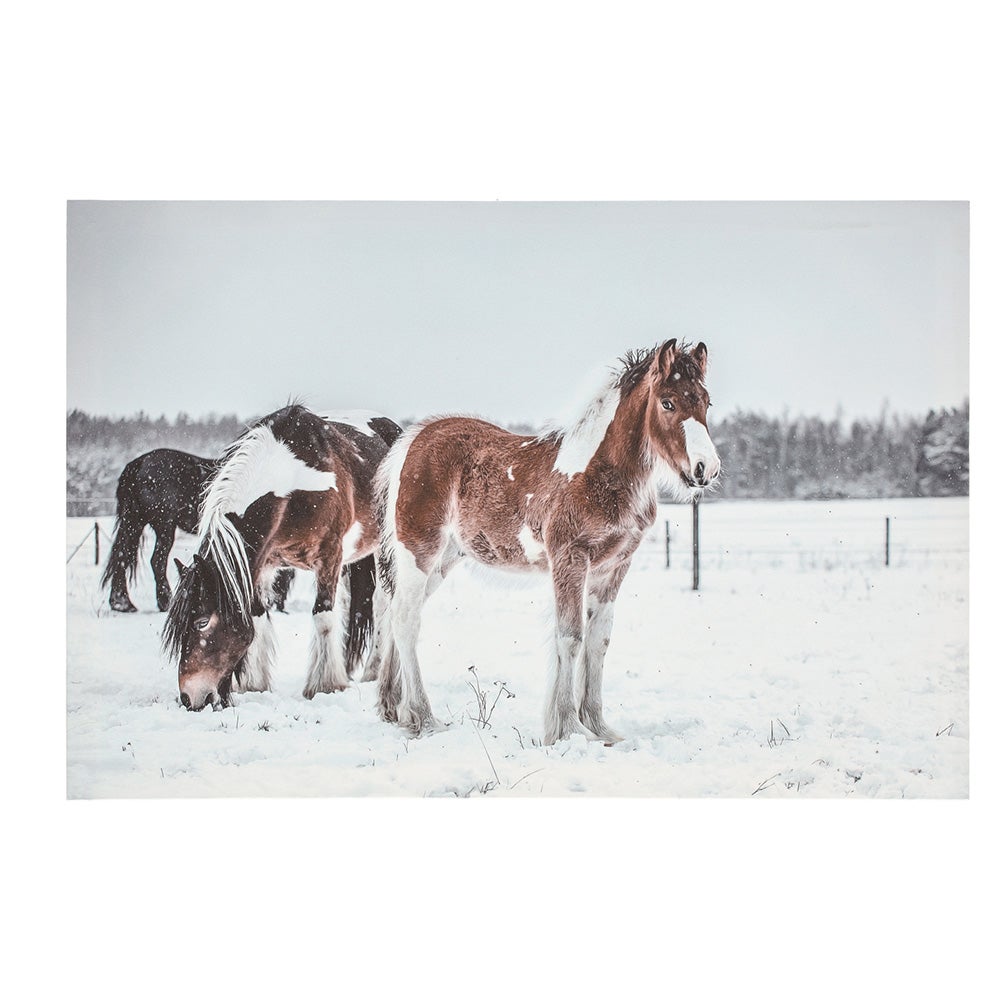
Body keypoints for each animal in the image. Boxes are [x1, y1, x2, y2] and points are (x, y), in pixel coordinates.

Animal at [100, 448, 294, 614]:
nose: (277, 605)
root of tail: (138, 463)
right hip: (164, 526)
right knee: (157, 561)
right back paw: (166, 602)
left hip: (134, 524)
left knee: (122, 557)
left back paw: (122, 603)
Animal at [163, 406, 402, 711]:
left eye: (202, 622)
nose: (189, 698)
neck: (293, 484)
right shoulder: (264, 564)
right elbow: (258, 617)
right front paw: (255, 683)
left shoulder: (329, 555)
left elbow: (323, 617)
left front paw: (324, 685)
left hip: (382, 549)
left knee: (380, 603)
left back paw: (372, 669)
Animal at [374, 339, 720, 745]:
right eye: (667, 402)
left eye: (706, 402)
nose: (705, 469)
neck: (598, 472)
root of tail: (412, 440)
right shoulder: (570, 558)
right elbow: (570, 636)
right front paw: (568, 729)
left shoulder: (613, 567)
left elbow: (598, 641)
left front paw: (599, 728)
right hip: (419, 550)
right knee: (405, 618)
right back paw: (424, 718)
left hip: (444, 559)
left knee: (396, 612)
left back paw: (394, 710)